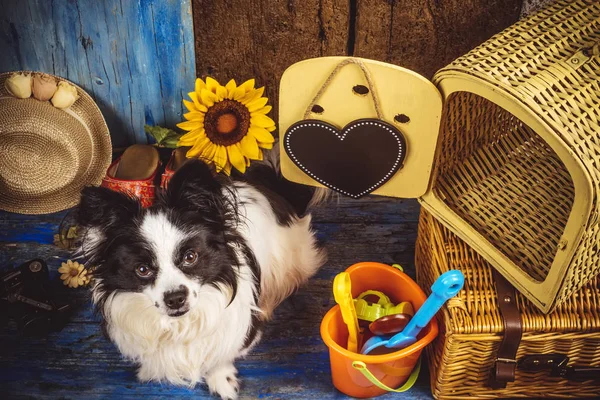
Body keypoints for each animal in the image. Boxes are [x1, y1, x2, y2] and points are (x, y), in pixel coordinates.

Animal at [76, 155, 328, 398]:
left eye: (190, 257)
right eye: (142, 269)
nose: (175, 298)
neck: (179, 326)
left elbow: (222, 354)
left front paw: (222, 380)